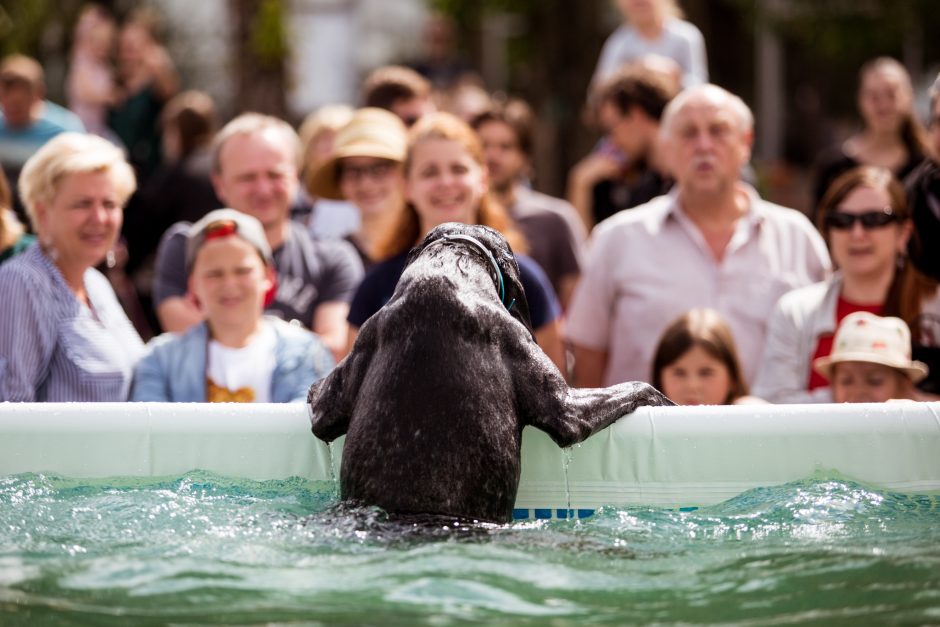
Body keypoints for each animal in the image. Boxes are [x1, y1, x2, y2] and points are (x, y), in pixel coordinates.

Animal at [306, 222, 668, 524]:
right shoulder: (563, 405)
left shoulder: (342, 377)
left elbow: (318, 406)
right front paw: (661, 398)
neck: (446, 274)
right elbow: (635, 387)